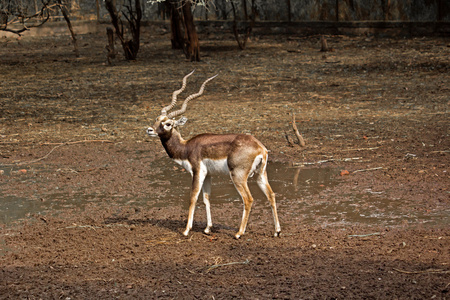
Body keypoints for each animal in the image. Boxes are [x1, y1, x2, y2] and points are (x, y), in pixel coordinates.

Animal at [148, 71, 280, 239]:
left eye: (168, 124)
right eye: (157, 119)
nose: (150, 130)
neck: (186, 147)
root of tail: (260, 147)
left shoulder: (197, 172)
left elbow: (193, 197)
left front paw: (186, 230)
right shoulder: (208, 174)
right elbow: (206, 199)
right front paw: (207, 228)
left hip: (238, 176)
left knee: (248, 199)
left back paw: (239, 233)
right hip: (260, 174)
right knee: (271, 195)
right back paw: (277, 231)